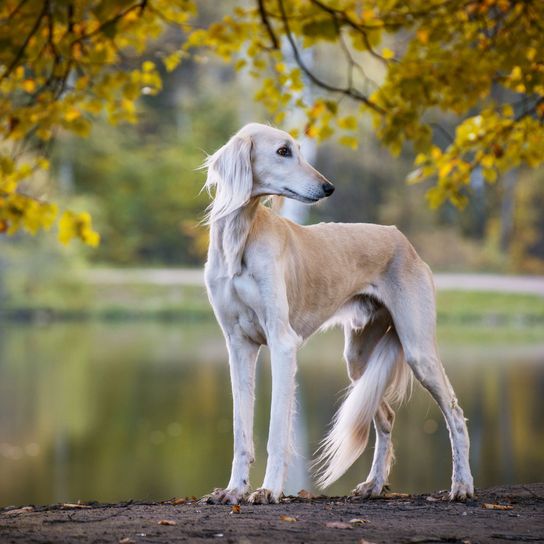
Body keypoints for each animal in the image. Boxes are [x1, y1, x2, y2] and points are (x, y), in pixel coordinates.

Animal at [202, 123, 474, 506]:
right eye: (283, 151)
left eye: (298, 150)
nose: (328, 187)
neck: (239, 238)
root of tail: (402, 239)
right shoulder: (238, 345)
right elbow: (241, 430)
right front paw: (234, 489)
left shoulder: (282, 343)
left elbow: (276, 431)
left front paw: (269, 490)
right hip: (358, 359)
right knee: (386, 416)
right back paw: (374, 484)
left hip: (418, 349)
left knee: (455, 413)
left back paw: (462, 485)